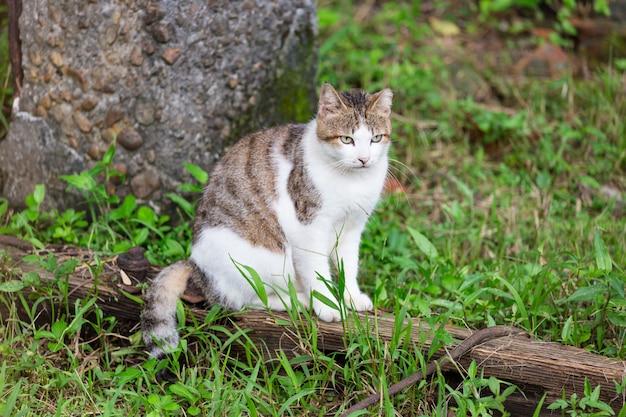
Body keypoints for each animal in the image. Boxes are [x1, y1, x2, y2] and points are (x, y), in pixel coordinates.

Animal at [144, 82, 392, 358]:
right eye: (347, 139)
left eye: (375, 139)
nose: (364, 159)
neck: (352, 181)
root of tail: (196, 267)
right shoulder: (309, 229)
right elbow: (316, 270)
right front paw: (327, 305)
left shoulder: (352, 228)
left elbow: (348, 266)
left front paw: (351, 296)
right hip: (270, 257)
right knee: (243, 301)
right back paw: (297, 299)